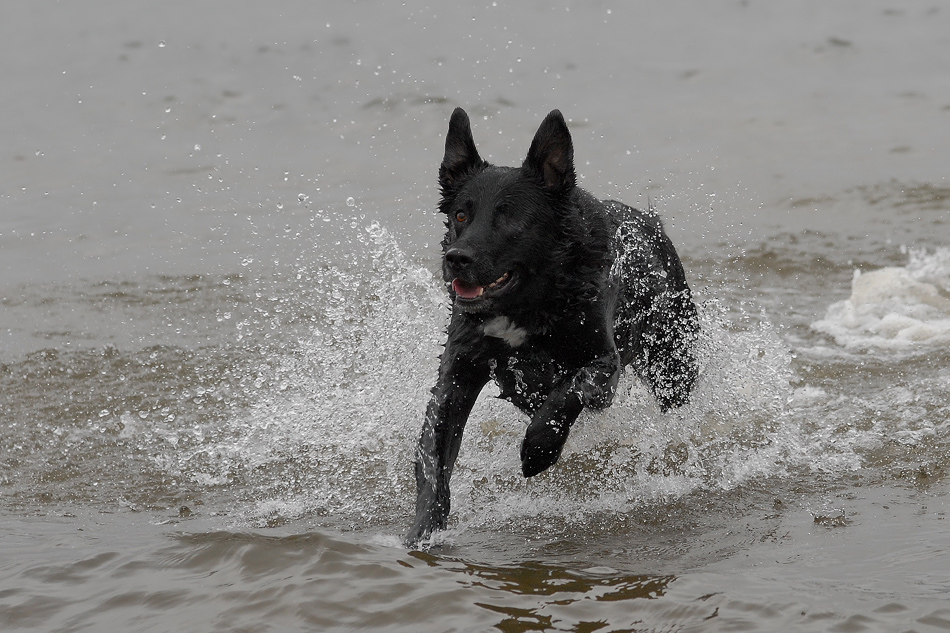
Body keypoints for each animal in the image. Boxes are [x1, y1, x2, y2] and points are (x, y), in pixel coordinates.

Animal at [406, 108, 704, 544]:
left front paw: (538, 449)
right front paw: (422, 532)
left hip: (672, 359)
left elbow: (568, 392)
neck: (530, 303)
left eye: (510, 218)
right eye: (461, 214)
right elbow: (433, 458)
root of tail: (652, 224)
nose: (456, 258)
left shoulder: (603, 363)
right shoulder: (457, 375)